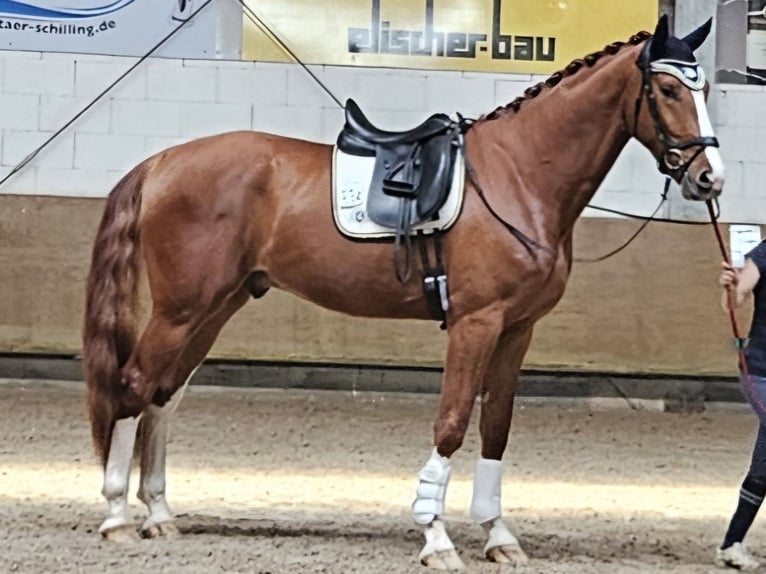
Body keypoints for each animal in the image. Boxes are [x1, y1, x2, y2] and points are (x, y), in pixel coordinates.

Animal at [84, 15, 728, 572]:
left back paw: (160, 514)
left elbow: (497, 425)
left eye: (705, 88)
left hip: (217, 306)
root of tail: (162, 162)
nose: (709, 179)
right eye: (669, 87)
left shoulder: (518, 329)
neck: (519, 175)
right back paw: (117, 517)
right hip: (181, 308)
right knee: (135, 385)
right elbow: (452, 422)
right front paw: (436, 537)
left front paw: (498, 535)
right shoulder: (475, 323)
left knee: (163, 395)